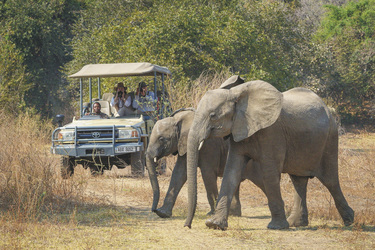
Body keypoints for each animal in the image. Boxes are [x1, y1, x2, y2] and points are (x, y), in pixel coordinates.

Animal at [185, 76, 356, 230]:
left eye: (212, 116)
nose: (188, 225)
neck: (236, 94)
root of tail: (327, 107)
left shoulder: (272, 132)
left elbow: (269, 173)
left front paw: (276, 227)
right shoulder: (239, 131)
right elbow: (232, 171)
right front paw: (214, 224)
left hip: (330, 139)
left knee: (330, 180)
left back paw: (349, 221)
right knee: (298, 180)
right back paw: (296, 224)